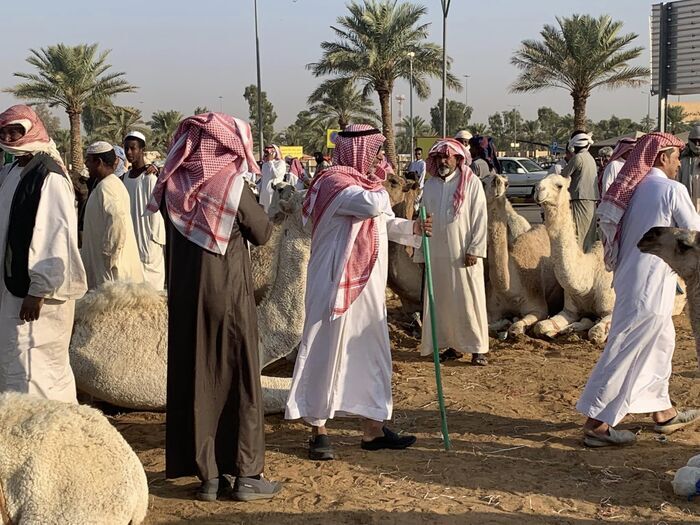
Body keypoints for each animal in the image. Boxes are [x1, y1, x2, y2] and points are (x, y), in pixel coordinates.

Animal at [484, 174, 568, 334]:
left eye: (506, 183)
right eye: (484, 181)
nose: (497, 181)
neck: (508, 289)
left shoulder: (537, 305)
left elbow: (515, 328)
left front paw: (512, 324)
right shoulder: (491, 310)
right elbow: (487, 326)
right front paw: (504, 322)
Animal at [532, 174, 616, 342]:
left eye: (559, 185)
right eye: (539, 181)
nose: (538, 190)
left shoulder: (611, 309)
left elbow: (595, 334)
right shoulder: (569, 311)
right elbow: (540, 326)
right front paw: (556, 331)